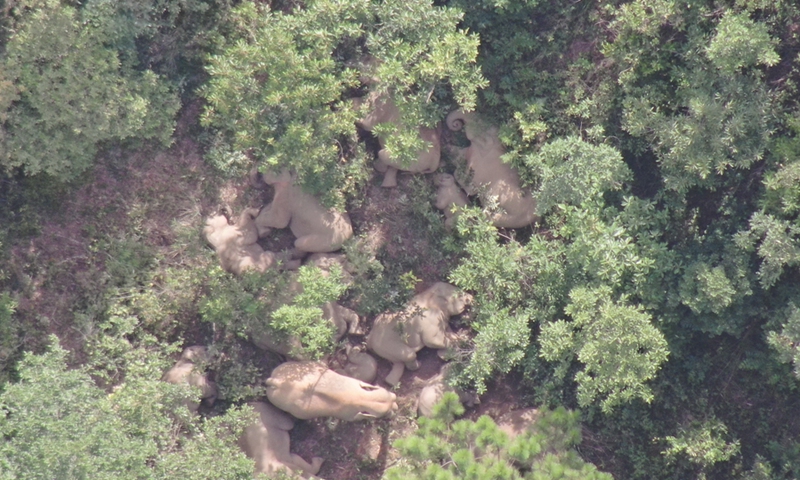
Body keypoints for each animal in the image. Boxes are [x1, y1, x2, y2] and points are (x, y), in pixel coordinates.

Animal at [265, 361, 398, 421]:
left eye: (392, 397)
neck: (363, 399)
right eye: (385, 413)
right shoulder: (351, 416)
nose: (396, 407)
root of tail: (275, 381)